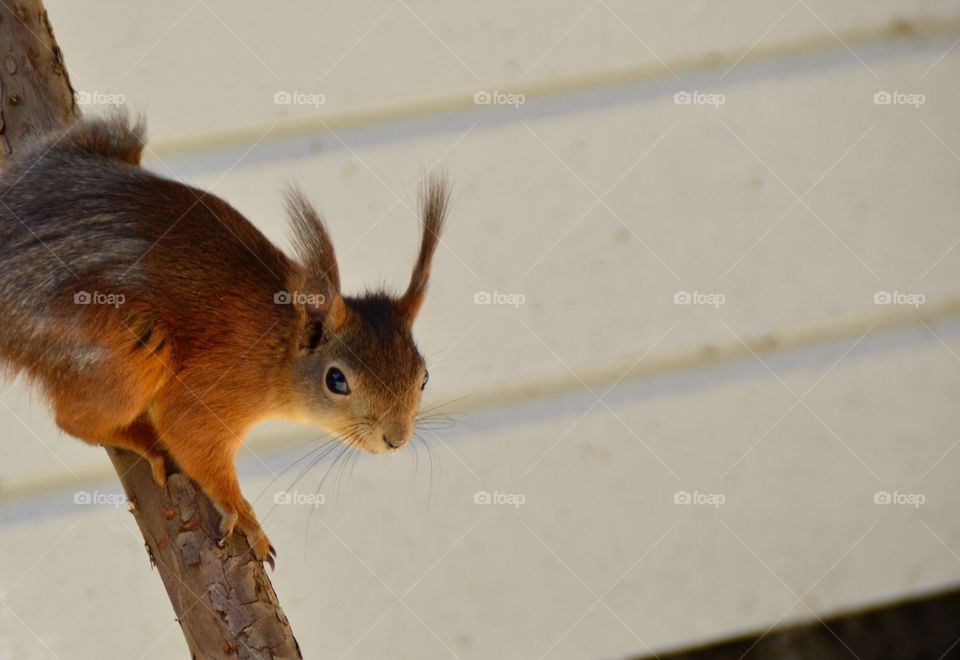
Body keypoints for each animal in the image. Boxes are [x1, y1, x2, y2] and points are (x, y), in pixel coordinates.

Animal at [0, 114, 450, 568]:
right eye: (336, 380)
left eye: (424, 377)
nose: (396, 440)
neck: (278, 348)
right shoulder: (214, 389)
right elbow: (190, 437)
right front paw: (245, 516)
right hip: (125, 351)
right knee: (74, 421)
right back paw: (143, 442)